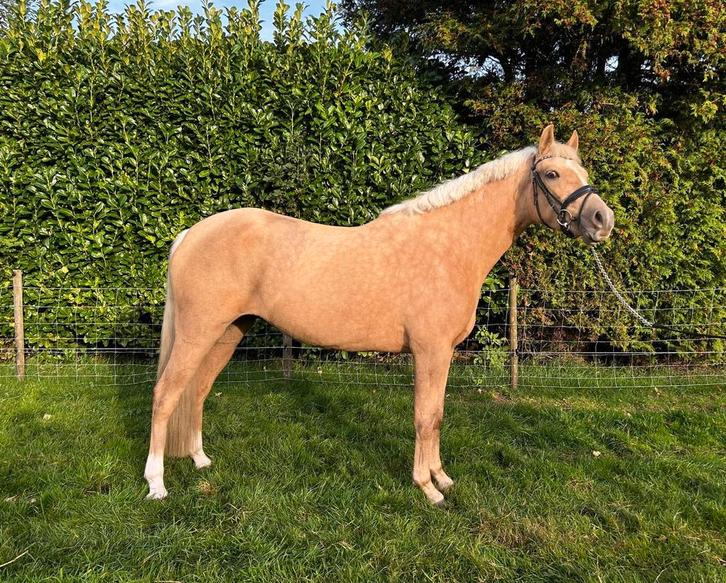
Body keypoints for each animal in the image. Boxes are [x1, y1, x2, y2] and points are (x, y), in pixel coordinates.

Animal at [144, 125, 615, 505]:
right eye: (551, 175)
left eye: (583, 173)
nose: (602, 219)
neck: (447, 246)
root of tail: (190, 234)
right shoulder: (429, 351)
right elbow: (425, 417)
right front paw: (426, 488)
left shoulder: (442, 354)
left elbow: (437, 415)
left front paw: (442, 478)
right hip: (198, 332)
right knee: (165, 394)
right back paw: (156, 484)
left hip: (227, 332)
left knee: (197, 391)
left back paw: (200, 460)